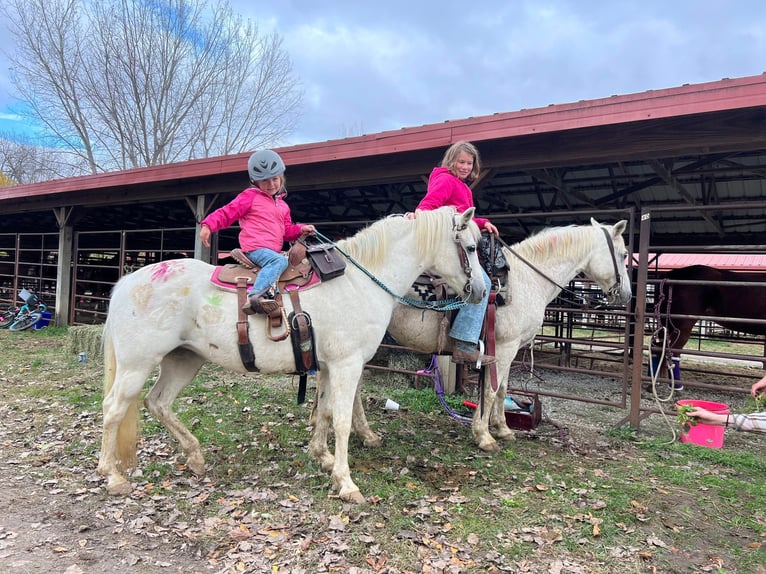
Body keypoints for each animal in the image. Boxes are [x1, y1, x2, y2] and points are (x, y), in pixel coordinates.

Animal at [97, 207, 486, 504]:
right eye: (470, 247)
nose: (482, 290)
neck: (360, 282)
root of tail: (128, 282)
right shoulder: (347, 365)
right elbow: (342, 420)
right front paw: (347, 483)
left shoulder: (328, 366)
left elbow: (325, 412)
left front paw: (323, 458)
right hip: (137, 364)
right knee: (114, 409)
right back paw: (112, 476)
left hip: (184, 359)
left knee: (158, 402)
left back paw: (194, 456)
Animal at [308, 218, 632, 462]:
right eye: (624, 255)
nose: (627, 294)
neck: (527, 280)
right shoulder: (505, 347)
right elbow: (492, 390)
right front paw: (485, 436)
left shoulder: (502, 349)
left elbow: (500, 389)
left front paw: (501, 428)